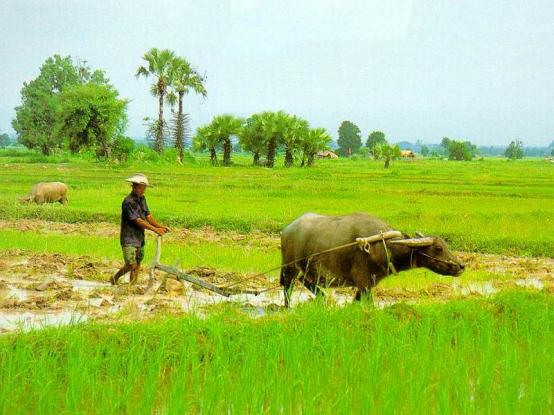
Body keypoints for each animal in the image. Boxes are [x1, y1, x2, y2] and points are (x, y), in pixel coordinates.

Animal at [278, 214, 464, 306]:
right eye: (438, 248)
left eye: (446, 245)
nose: (461, 266)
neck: (383, 246)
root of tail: (287, 229)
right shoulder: (363, 281)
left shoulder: (366, 285)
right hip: (290, 267)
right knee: (288, 287)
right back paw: (288, 308)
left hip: (307, 269)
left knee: (304, 280)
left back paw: (323, 298)